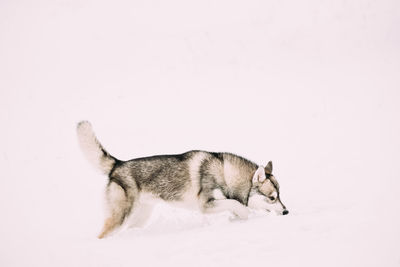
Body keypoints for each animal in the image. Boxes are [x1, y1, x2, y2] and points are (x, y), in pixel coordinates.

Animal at [76, 121, 288, 239]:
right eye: (272, 197)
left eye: (280, 196)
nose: (286, 212)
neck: (225, 174)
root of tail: (117, 165)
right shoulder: (206, 204)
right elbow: (237, 206)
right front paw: (245, 217)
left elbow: (235, 207)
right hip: (120, 216)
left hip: (141, 217)